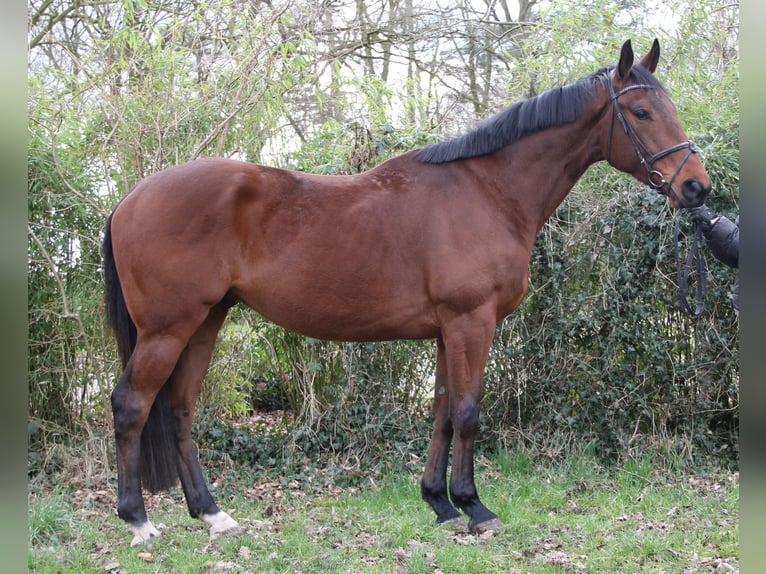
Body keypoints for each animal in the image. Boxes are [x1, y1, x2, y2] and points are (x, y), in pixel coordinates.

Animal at [102, 38, 712, 548]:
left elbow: (441, 411)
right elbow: (467, 411)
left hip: (205, 322)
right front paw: (475, 507)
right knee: (131, 405)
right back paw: (138, 521)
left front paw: (439, 504)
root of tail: (129, 198)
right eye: (641, 112)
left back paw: (212, 514)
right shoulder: (471, 321)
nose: (697, 187)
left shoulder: (447, 330)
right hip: (168, 329)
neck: (489, 191)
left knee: (179, 410)